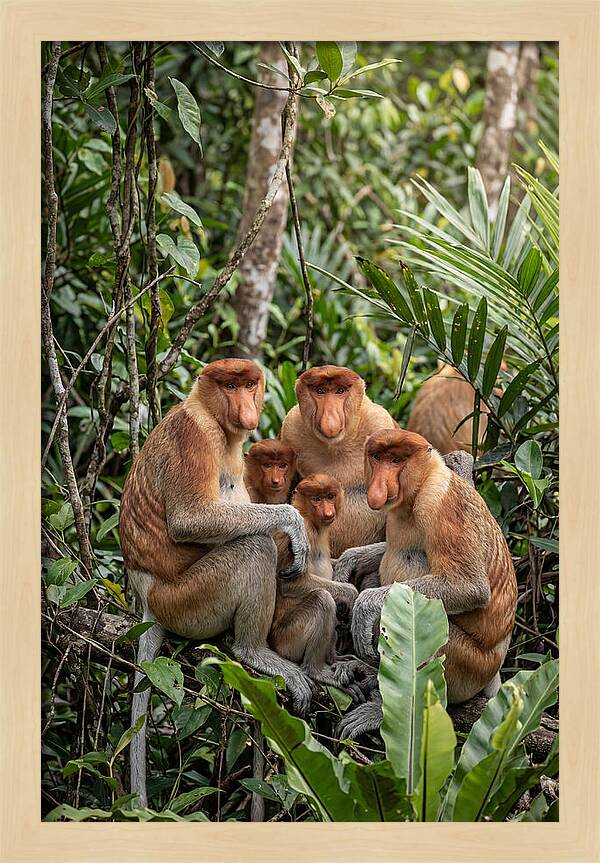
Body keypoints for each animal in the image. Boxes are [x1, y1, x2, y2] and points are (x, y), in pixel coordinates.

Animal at [119, 359, 314, 807]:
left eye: (249, 384)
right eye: (229, 386)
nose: (246, 408)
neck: (210, 413)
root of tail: (147, 598)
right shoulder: (195, 436)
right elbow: (191, 519)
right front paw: (293, 525)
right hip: (188, 600)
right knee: (253, 547)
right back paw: (252, 651)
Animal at [280, 365, 397, 560]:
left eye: (339, 391)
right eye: (320, 391)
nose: (330, 420)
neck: (336, 446)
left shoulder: (380, 423)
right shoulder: (290, 428)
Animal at [335, 429, 517, 739]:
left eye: (397, 460)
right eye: (378, 457)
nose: (379, 485)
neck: (419, 487)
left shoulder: (440, 504)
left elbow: (469, 586)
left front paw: (365, 606)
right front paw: (349, 560)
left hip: (469, 666)